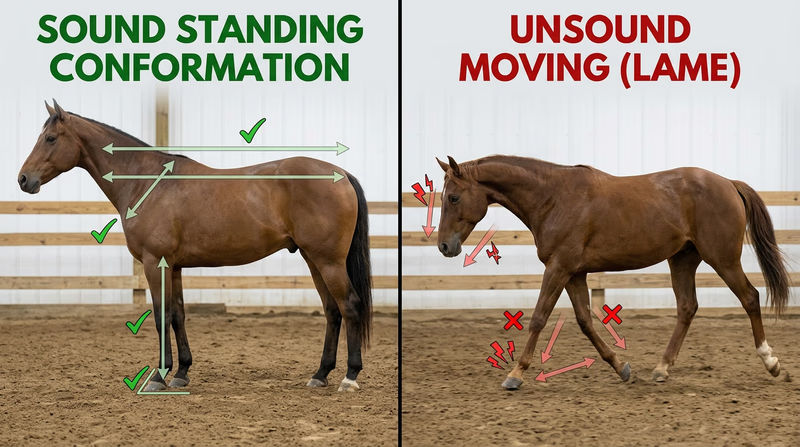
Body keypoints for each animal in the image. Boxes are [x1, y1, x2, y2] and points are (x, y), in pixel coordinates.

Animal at [18, 100, 372, 392]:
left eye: (50, 138)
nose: (23, 179)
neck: (146, 183)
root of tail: (341, 174)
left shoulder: (154, 263)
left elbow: (161, 316)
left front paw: (159, 376)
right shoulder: (172, 266)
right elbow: (178, 315)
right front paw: (181, 373)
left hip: (328, 261)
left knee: (349, 306)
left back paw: (349, 377)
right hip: (314, 260)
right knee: (332, 311)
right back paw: (320, 374)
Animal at [435, 155, 790, 390]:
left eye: (453, 197)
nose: (444, 246)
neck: (553, 198)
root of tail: (729, 184)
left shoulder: (559, 267)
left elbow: (539, 317)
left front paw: (515, 375)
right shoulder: (574, 273)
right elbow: (585, 321)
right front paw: (622, 368)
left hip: (723, 259)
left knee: (750, 297)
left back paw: (771, 363)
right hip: (682, 260)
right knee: (687, 307)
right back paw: (661, 369)